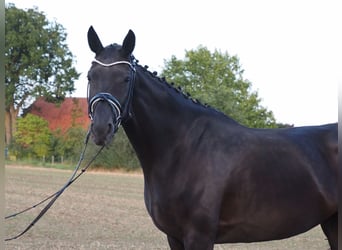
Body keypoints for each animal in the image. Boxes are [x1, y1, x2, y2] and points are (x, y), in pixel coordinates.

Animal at [85, 26, 336, 249]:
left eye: (126, 78)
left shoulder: (200, 236)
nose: (101, 128)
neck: (183, 148)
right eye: (90, 76)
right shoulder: (174, 237)